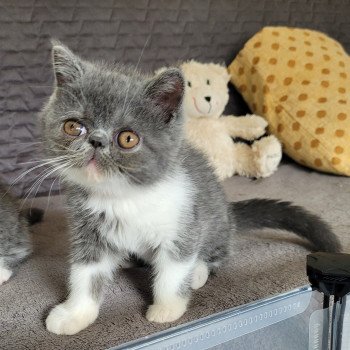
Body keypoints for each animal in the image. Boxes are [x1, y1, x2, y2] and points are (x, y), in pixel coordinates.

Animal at [40, 42, 340, 334]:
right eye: (73, 127)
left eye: (127, 138)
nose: (96, 141)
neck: (123, 196)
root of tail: (229, 213)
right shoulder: (87, 229)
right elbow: (85, 274)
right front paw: (74, 315)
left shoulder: (183, 220)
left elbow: (173, 270)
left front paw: (167, 308)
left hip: (214, 220)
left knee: (217, 253)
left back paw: (197, 271)